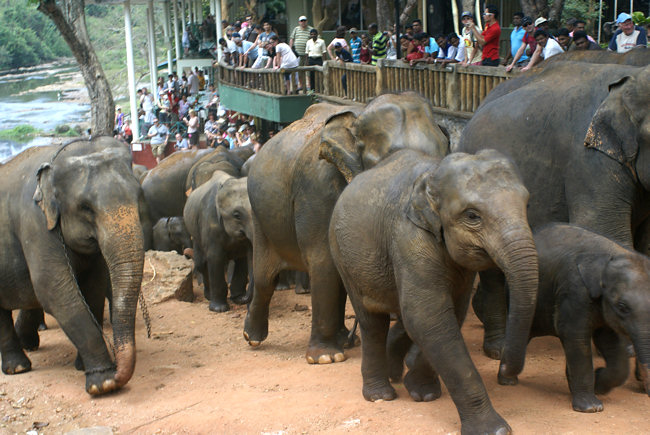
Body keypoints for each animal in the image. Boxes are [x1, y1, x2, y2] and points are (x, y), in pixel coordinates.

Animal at [0, 138, 146, 396]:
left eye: (140, 195)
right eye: (85, 207)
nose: (118, 371)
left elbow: (94, 287)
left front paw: (82, 368)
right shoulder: (35, 224)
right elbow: (55, 291)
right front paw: (103, 384)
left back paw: (26, 350)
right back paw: (17, 368)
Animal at [244, 91, 450, 364]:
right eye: (390, 162)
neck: (358, 115)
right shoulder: (316, 186)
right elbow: (324, 260)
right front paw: (324, 358)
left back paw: (344, 339)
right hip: (260, 213)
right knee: (265, 276)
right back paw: (252, 338)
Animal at [330, 150, 536, 435]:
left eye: (526, 206)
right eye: (472, 216)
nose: (504, 371)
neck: (434, 174)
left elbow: (448, 313)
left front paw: (424, 393)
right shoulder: (410, 237)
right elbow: (428, 317)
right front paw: (495, 430)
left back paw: (396, 370)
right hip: (343, 256)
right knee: (372, 321)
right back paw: (380, 395)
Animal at [506, 223, 648, 414]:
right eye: (622, 307)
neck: (612, 253)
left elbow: (610, 341)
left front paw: (599, 383)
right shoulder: (575, 291)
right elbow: (575, 335)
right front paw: (591, 407)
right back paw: (507, 380)